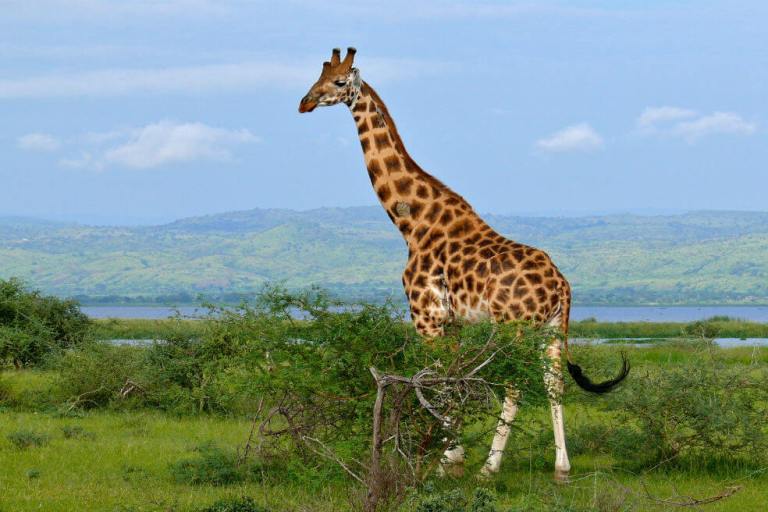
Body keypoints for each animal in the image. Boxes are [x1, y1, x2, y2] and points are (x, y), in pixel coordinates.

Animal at [299, 48, 629, 482]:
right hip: (552, 329)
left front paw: (448, 461)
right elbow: (453, 382)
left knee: (516, 386)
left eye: (338, 83)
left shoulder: (427, 317)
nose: (304, 103)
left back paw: (490, 467)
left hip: (513, 328)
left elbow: (439, 384)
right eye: (316, 78)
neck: (412, 224)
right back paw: (561, 468)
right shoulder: (452, 322)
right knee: (554, 383)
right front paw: (451, 456)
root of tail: (561, 285)